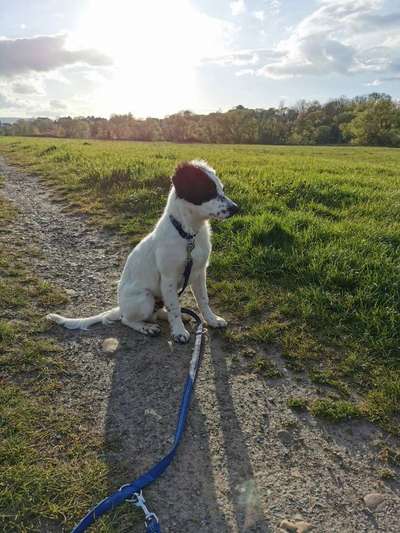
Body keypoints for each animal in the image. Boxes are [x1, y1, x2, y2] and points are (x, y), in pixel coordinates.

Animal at [48, 158, 239, 342]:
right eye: (208, 191)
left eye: (222, 189)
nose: (236, 208)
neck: (188, 235)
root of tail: (120, 308)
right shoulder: (169, 278)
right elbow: (174, 308)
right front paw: (178, 332)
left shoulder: (199, 272)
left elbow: (203, 300)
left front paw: (212, 320)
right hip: (145, 298)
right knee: (128, 320)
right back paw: (147, 328)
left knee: (159, 312)